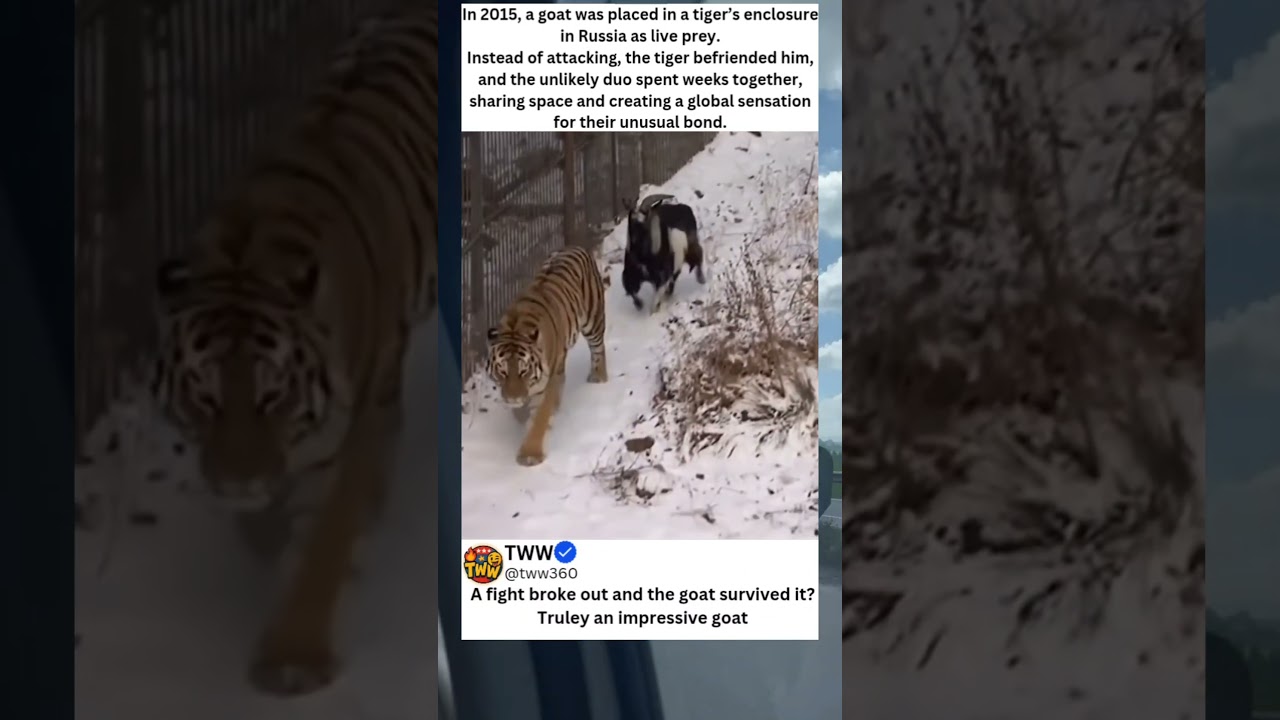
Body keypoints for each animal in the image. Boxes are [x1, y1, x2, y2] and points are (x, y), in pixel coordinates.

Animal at [148, 7, 437, 697]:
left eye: (273, 395)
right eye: (203, 396)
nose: (240, 481)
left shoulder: (351, 429)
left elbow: (325, 545)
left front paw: (291, 661)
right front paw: (262, 529)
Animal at [486, 245, 609, 466]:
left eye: (524, 371)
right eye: (502, 371)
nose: (514, 398)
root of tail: (574, 247)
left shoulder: (545, 385)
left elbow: (540, 418)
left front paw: (530, 455)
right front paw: (521, 415)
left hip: (592, 320)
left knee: (598, 348)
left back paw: (599, 376)